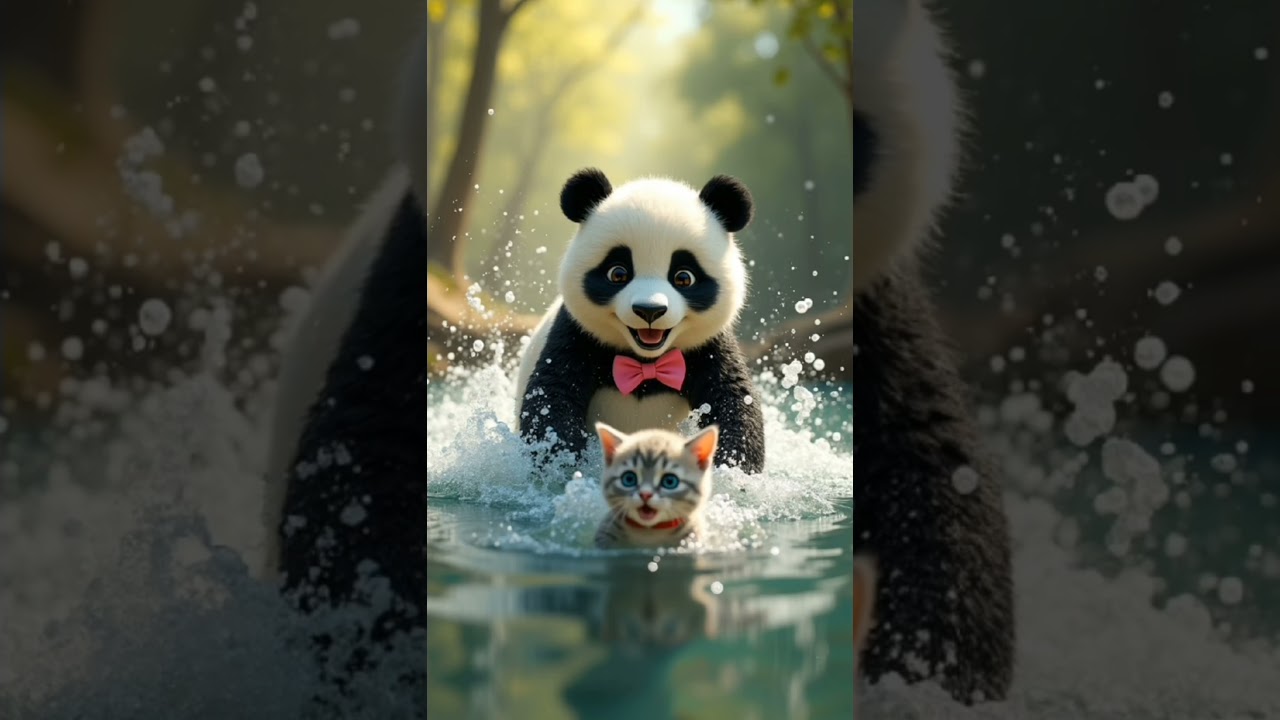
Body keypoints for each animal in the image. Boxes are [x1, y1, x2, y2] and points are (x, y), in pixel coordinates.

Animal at [512, 168, 766, 474]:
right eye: (618, 273)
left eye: (684, 277)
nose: (649, 310)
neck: (646, 361)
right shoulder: (577, 334)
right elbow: (551, 397)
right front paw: (565, 466)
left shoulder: (708, 346)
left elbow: (734, 399)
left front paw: (732, 471)